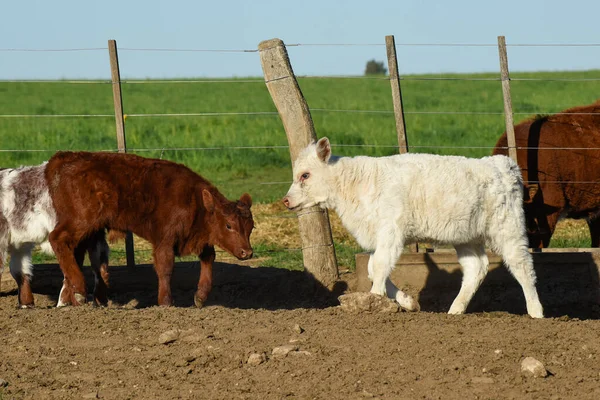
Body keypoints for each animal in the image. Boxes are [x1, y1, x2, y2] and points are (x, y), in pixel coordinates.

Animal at [45, 152, 253, 306]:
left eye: (251, 226)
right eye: (229, 225)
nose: (247, 252)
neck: (194, 200)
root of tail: (63, 158)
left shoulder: (197, 237)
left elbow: (208, 257)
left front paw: (200, 297)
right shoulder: (165, 240)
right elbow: (165, 268)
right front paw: (166, 302)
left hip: (88, 230)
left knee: (75, 253)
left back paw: (73, 299)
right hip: (80, 222)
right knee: (57, 239)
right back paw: (79, 291)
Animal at [282, 138, 544, 318]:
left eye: (305, 175)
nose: (286, 200)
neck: (356, 184)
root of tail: (502, 164)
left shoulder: (391, 231)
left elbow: (379, 266)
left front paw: (373, 299)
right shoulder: (379, 236)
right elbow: (372, 268)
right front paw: (407, 302)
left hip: (508, 228)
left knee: (523, 266)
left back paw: (536, 312)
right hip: (466, 237)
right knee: (476, 268)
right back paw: (455, 310)